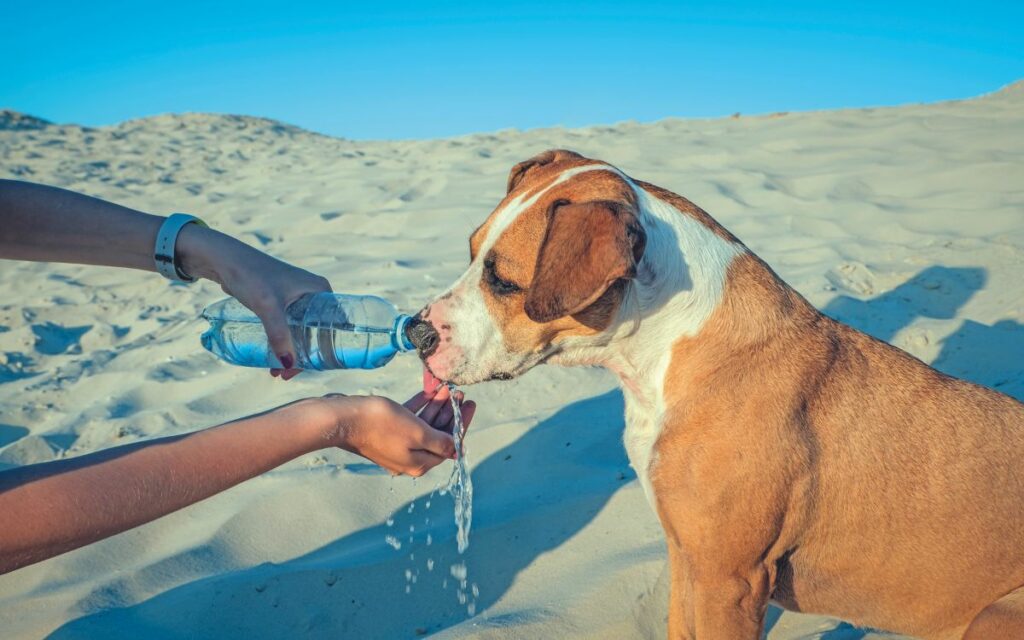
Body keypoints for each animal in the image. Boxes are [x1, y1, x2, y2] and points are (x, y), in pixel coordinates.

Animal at [409, 149, 1024, 638]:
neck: (662, 350)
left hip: (995, 615)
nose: (416, 332)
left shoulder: (729, 579)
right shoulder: (688, 558)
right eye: (471, 252)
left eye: (504, 280)